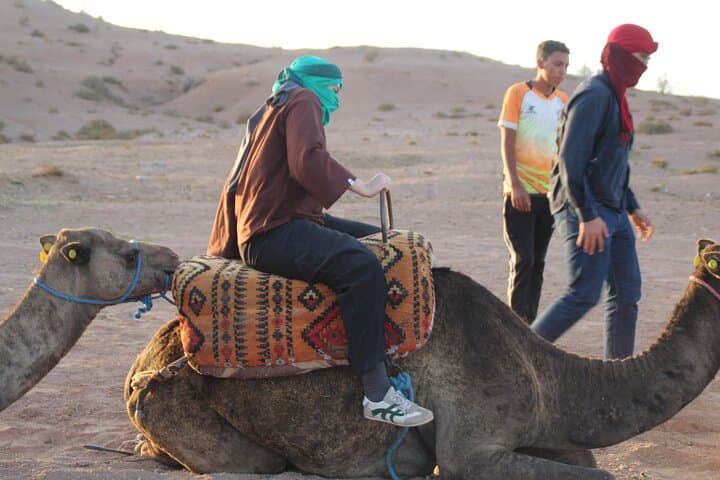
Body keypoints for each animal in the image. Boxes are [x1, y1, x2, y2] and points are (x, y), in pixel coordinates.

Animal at [124, 238, 720, 480]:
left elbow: (591, 464)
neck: (550, 378)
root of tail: (138, 366)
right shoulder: (471, 453)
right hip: (179, 407)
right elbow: (602, 474)